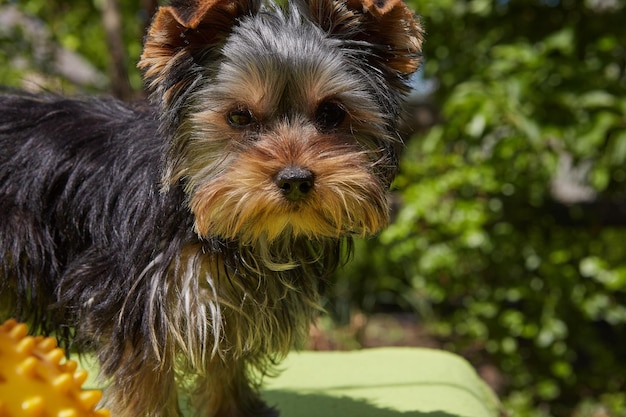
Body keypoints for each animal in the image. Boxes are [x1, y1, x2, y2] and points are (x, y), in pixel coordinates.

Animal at [0, 0, 422, 414]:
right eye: (238, 116)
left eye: (332, 113)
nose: (295, 180)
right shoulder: (137, 302)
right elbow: (146, 383)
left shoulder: (231, 306)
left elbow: (225, 372)